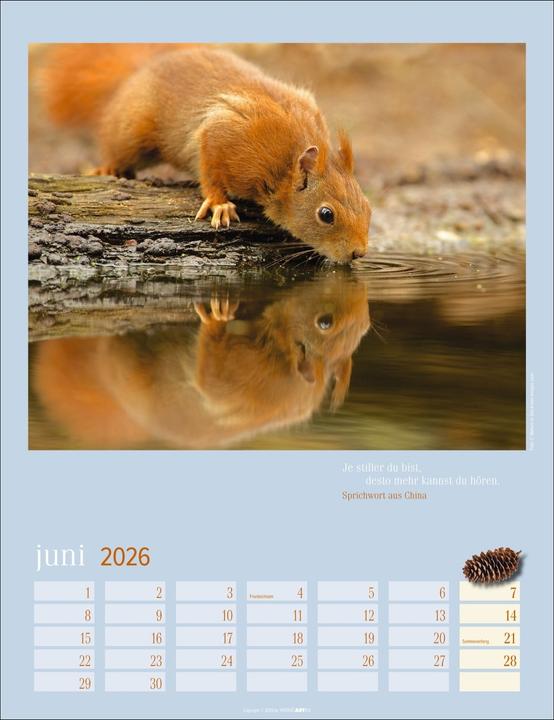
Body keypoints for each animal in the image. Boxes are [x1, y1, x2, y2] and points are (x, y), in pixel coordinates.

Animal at [41, 44, 371, 263]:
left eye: (368, 207)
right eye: (326, 214)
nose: (358, 253)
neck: (284, 164)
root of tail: (145, 67)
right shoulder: (224, 134)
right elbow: (210, 167)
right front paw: (218, 203)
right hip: (132, 132)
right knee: (116, 148)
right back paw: (107, 168)